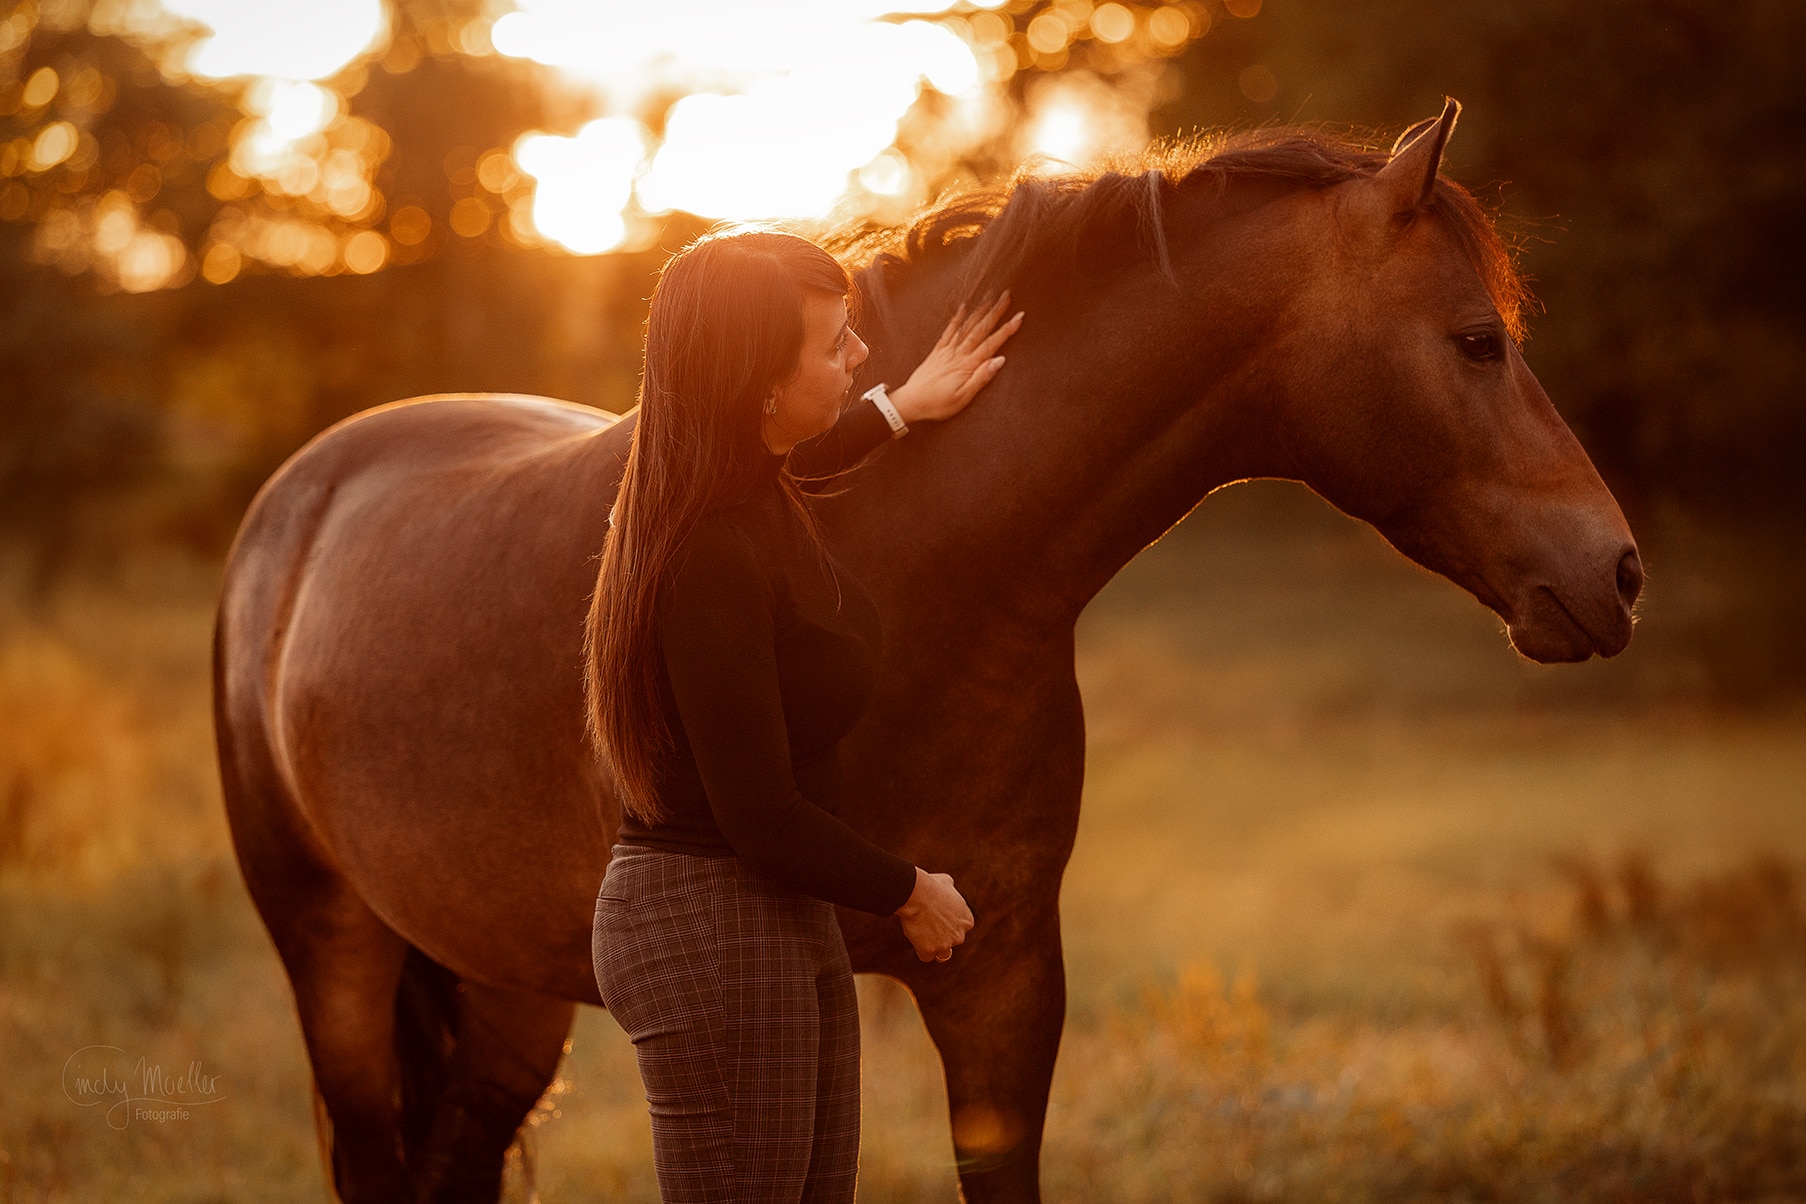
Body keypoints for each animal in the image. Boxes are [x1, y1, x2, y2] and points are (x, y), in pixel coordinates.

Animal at [213, 100, 1641, 1202]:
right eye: (1478, 339)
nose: (1617, 571)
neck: (913, 566)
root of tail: (303, 495)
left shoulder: (1005, 979)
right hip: (334, 953)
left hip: (507, 978)